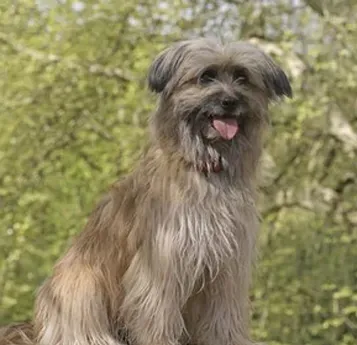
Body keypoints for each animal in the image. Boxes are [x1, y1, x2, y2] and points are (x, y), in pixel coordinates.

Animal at [0, 37, 290, 344]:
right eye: (206, 76)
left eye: (242, 77)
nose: (230, 101)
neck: (205, 168)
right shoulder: (162, 267)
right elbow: (157, 319)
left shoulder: (227, 274)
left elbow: (224, 323)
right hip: (81, 284)